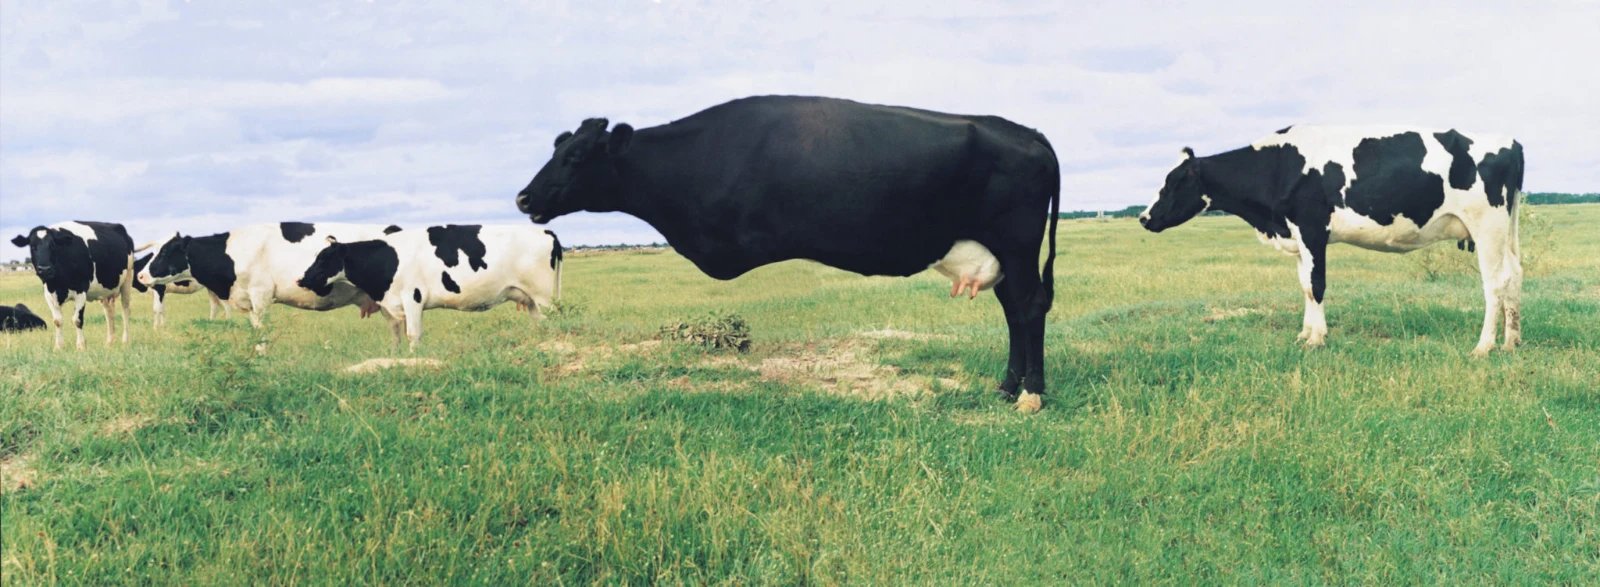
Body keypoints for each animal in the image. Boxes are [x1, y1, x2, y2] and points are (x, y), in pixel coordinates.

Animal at [9, 221, 136, 349]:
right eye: (32, 247)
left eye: (52, 246)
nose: (44, 269)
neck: (57, 284)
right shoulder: (48, 293)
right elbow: (57, 320)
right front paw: (59, 346)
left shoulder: (81, 290)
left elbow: (77, 320)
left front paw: (81, 346)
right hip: (105, 291)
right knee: (109, 312)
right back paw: (109, 342)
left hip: (128, 279)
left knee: (125, 310)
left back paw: (125, 340)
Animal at [295, 225, 563, 351]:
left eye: (323, 259)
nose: (301, 280)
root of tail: (545, 230)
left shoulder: (413, 297)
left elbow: (413, 334)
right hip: (531, 299)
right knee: (540, 322)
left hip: (544, 295)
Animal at [513, 96, 1060, 411]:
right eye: (557, 149)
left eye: (575, 156)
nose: (524, 197)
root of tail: (1028, 132)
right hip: (1003, 256)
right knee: (1013, 311)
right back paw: (1005, 388)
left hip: (1017, 245)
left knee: (1030, 308)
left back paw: (1031, 395)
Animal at [1139, 125, 1524, 355]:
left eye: (1173, 182)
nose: (1144, 217)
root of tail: (1511, 141)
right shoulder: (1297, 235)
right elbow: (1305, 286)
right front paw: (1304, 333)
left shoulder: (1312, 228)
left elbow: (1318, 284)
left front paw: (1317, 338)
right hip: (1506, 227)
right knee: (1515, 274)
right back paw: (1511, 341)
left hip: (1486, 223)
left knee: (1494, 282)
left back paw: (1484, 346)